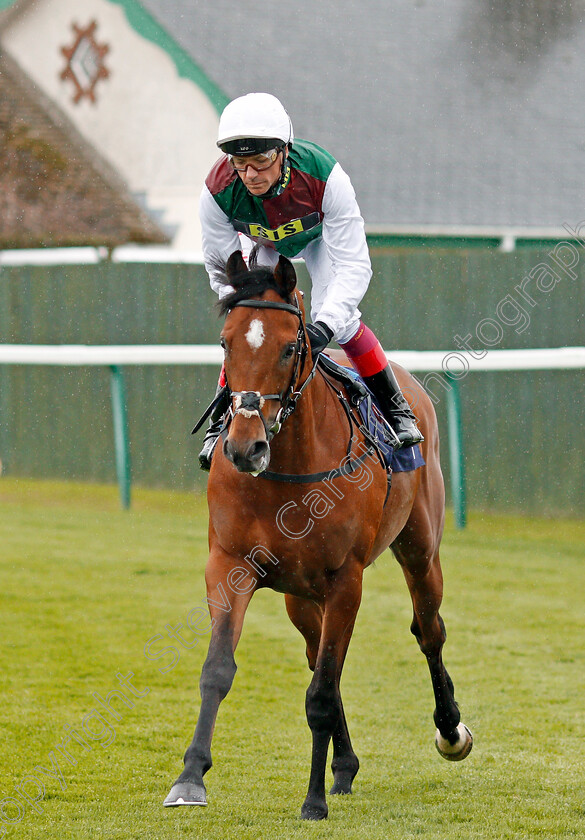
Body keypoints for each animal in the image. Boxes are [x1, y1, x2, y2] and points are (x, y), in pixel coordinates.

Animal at [163, 251, 470, 820]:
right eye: (225, 344)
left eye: (289, 347)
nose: (244, 447)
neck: (285, 471)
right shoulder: (230, 566)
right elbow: (219, 670)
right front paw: (190, 778)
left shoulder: (345, 580)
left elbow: (322, 693)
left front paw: (312, 801)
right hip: (300, 596)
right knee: (317, 656)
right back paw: (344, 766)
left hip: (420, 549)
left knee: (428, 629)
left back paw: (450, 730)